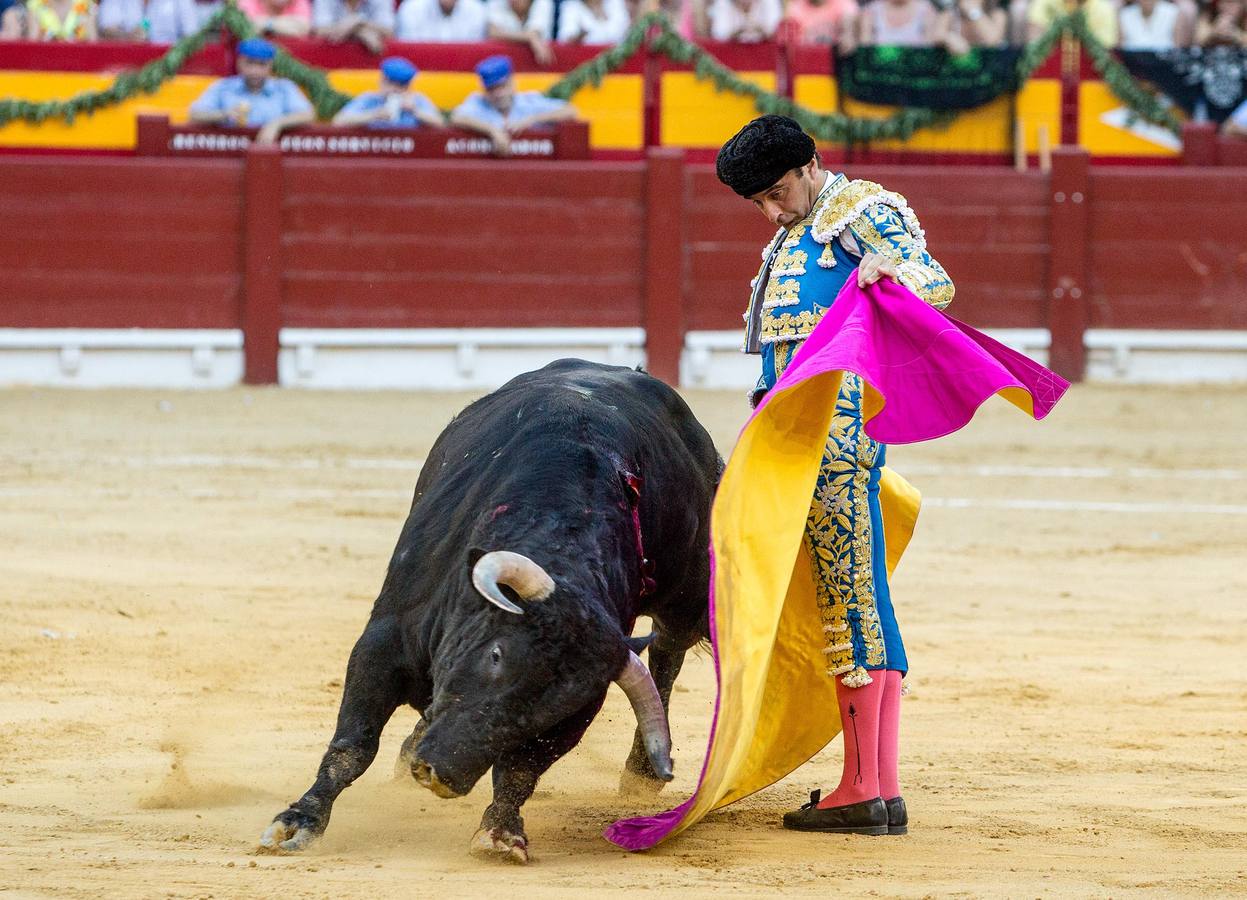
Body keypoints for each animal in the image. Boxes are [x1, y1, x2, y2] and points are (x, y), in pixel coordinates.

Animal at [260, 356, 723, 857]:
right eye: (496, 655)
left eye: (560, 706)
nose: (440, 774)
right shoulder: (385, 639)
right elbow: (353, 744)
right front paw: (299, 820)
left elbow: (521, 769)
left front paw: (501, 828)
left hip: (689, 589)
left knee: (669, 650)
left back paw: (640, 772)